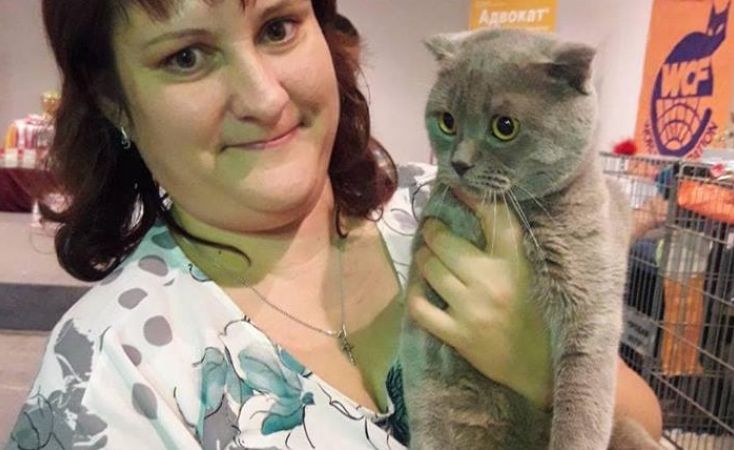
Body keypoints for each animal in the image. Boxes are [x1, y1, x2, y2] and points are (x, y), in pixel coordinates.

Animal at [399, 28, 660, 450]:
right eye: (447, 121)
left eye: (505, 126)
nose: (459, 163)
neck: (521, 215)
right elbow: (427, 390)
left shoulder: (590, 304)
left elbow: (581, 401)